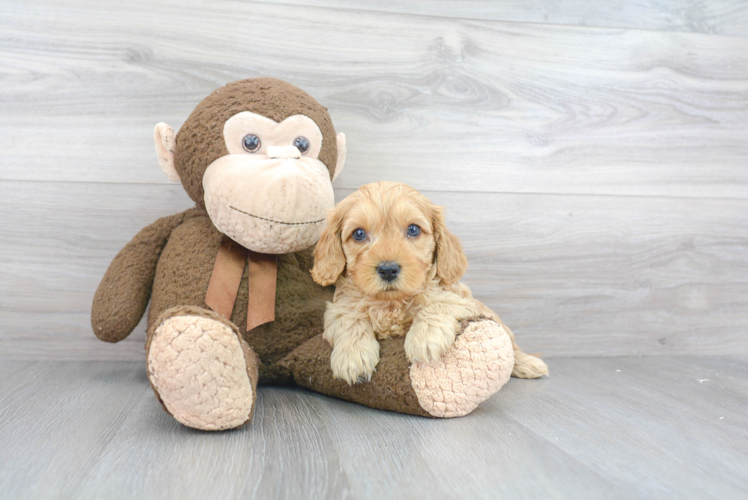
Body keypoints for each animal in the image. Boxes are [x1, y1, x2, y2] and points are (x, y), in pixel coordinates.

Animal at [310, 182, 548, 384]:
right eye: (359, 233)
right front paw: (353, 358)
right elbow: (350, 321)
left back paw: (529, 364)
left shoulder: (461, 300)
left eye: (413, 229)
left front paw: (424, 339)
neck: (391, 303)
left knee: (512, 345)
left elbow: (436, 304)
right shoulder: (337, 310)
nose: (388, 269)